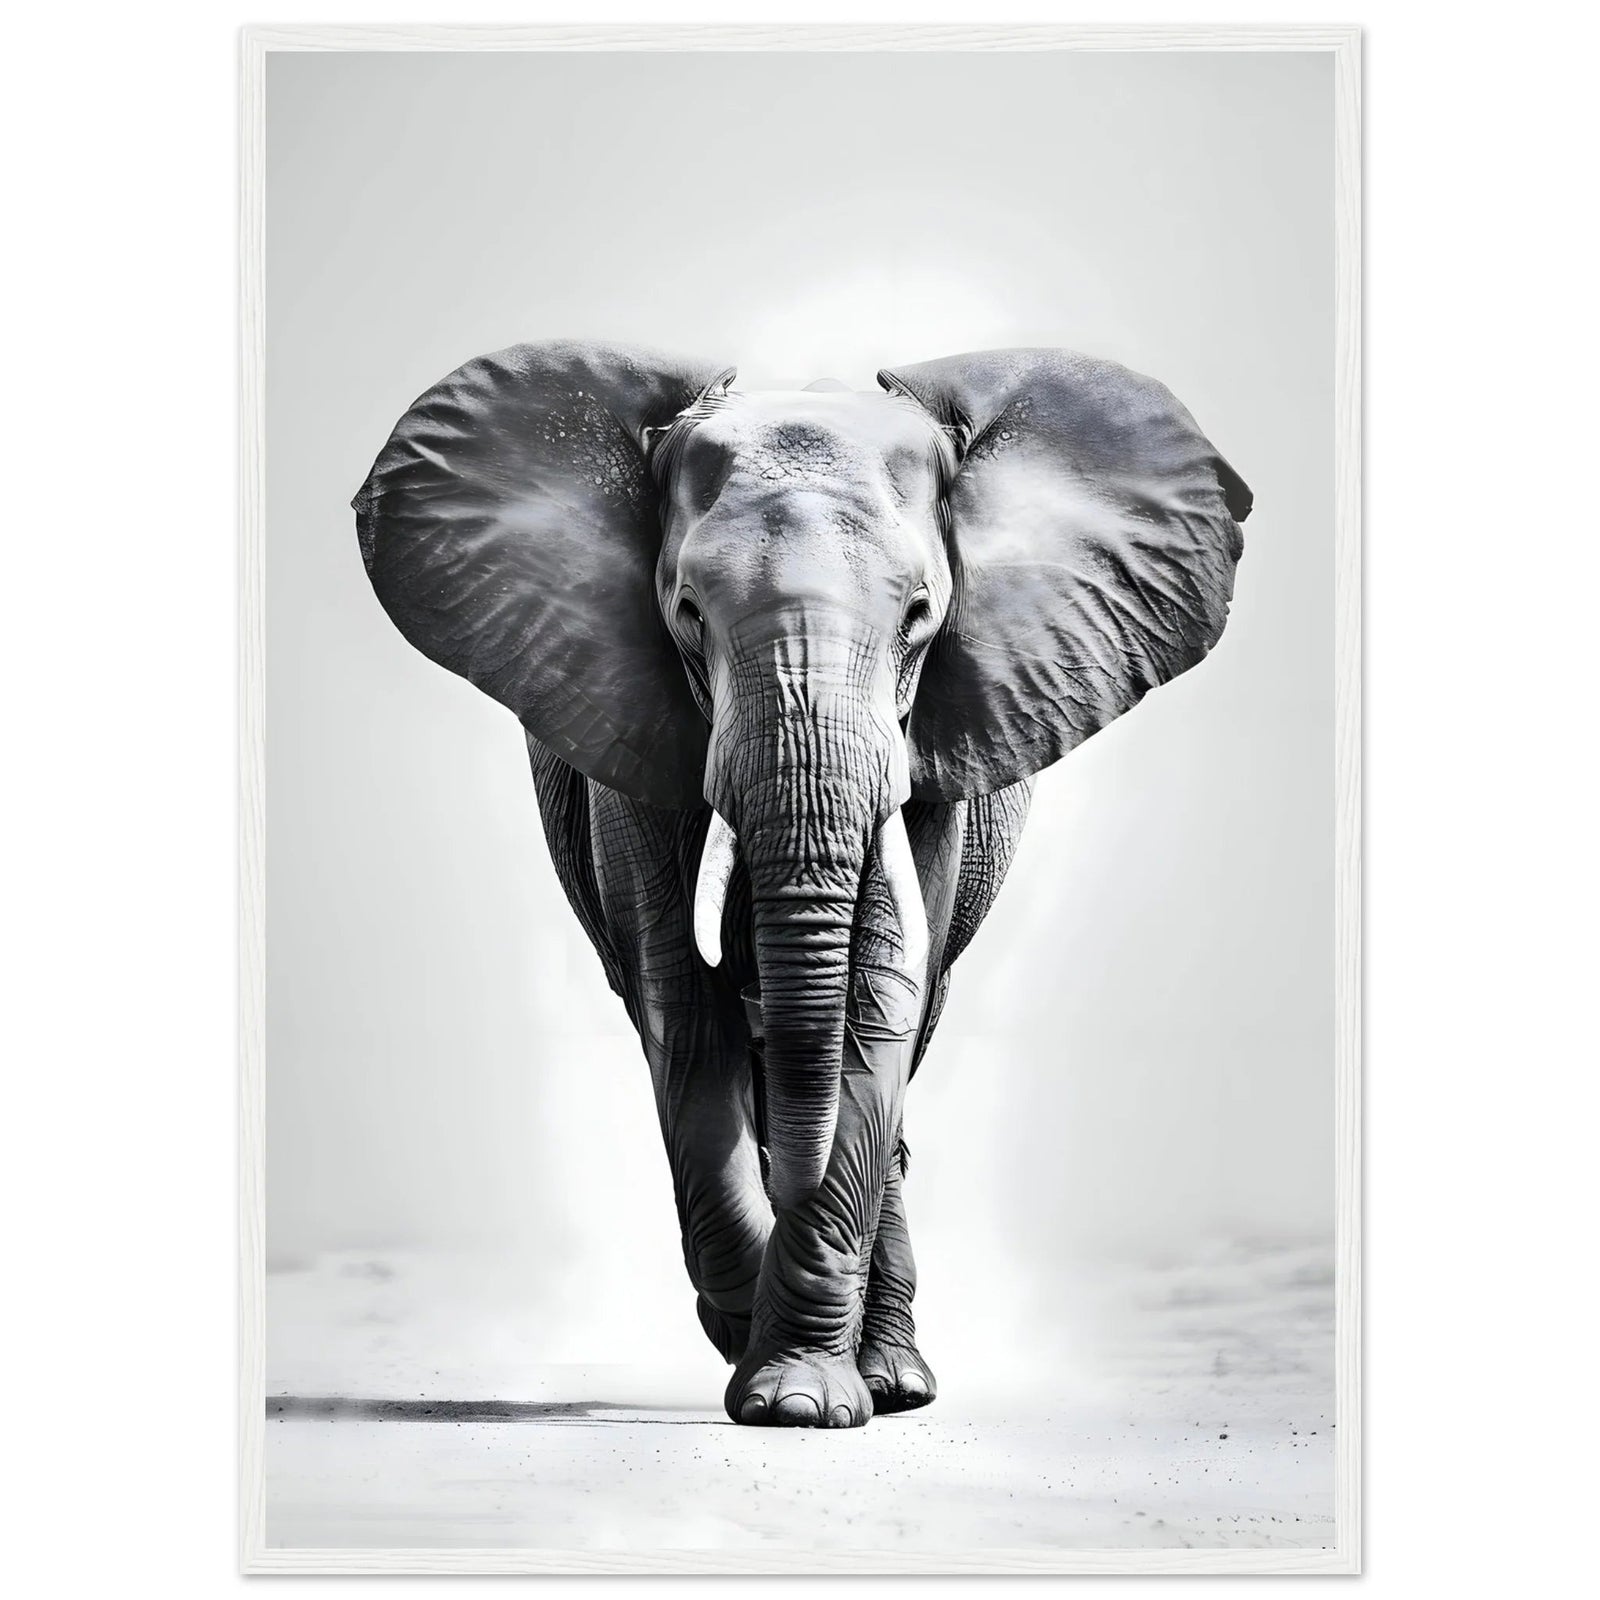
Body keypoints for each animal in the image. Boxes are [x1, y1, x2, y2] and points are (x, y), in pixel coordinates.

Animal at [353, 339, 1252, 1429]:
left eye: (920, 616)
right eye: (688, 614)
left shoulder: (934, 745)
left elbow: (876, 1003)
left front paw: (800, 1398)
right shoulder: (631, 731)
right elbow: (684, 1007)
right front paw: (760, 1356)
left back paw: (893, 1378)